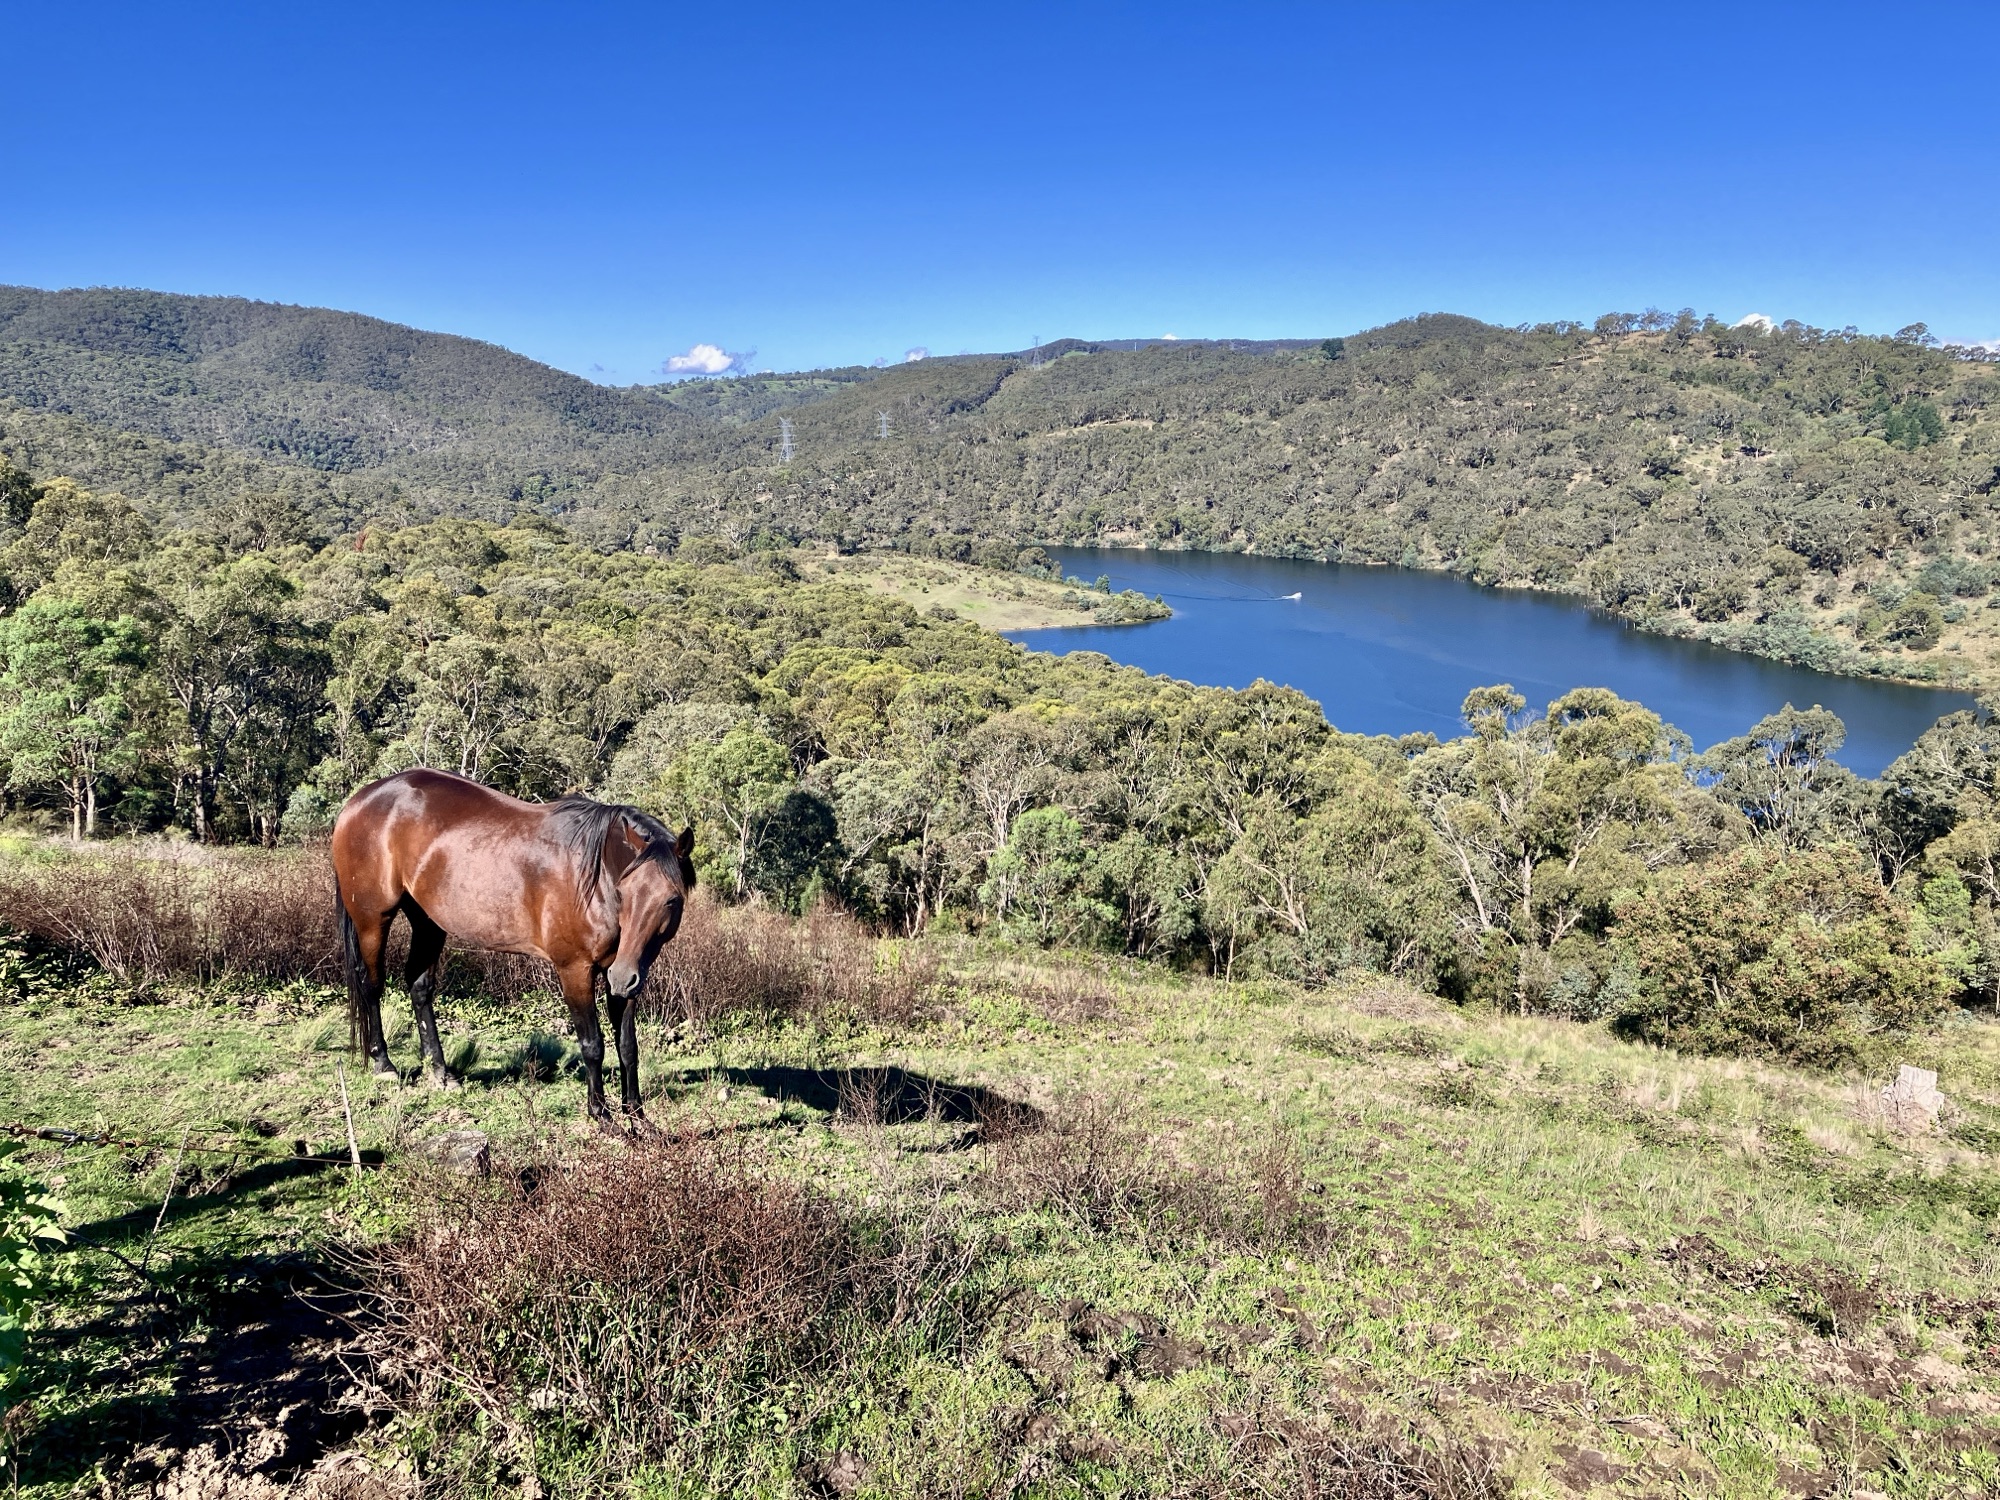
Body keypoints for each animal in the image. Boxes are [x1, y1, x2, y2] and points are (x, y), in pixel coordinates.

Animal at [330, 768, 695, 1126]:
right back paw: (384, 1065)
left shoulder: (623, 976)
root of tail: (358, 802)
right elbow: (592, 1044)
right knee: (371, 984)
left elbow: (627, 1046)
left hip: (427, 922)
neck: (594, 879)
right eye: (624, 891)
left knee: (419, 987)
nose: (623, 976)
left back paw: (441, 1073)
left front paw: (637, 1117)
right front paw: (602, 1115)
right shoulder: (576, 970)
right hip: (373, 918)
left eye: (672, 899)